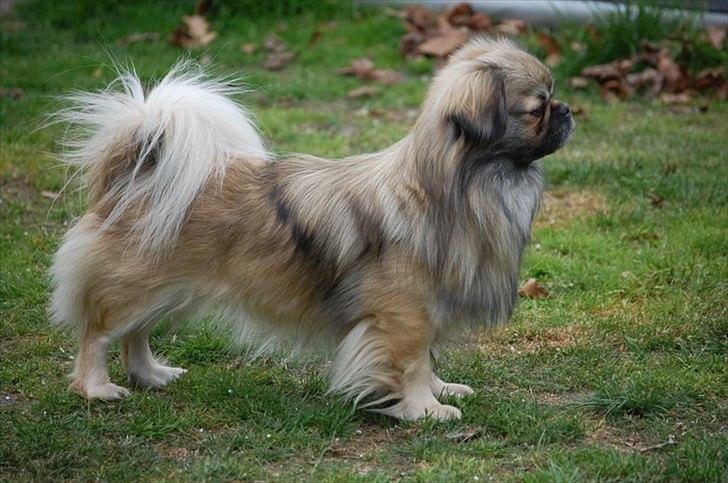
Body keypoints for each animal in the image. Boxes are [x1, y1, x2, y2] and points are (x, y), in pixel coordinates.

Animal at [52, 39, 576, 422]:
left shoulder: (423, 313)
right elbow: (410, 364)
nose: (568, 110)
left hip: (168, 291)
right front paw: (426, 410)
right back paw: (97, 388)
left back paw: (151, 375)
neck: (458, 190)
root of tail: (134, 175)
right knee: (99, 332)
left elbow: (427, 360)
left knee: (135, 335)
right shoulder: (403, 317)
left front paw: (441, 391)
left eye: (552, 100)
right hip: (137, 287)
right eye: (537, 109)